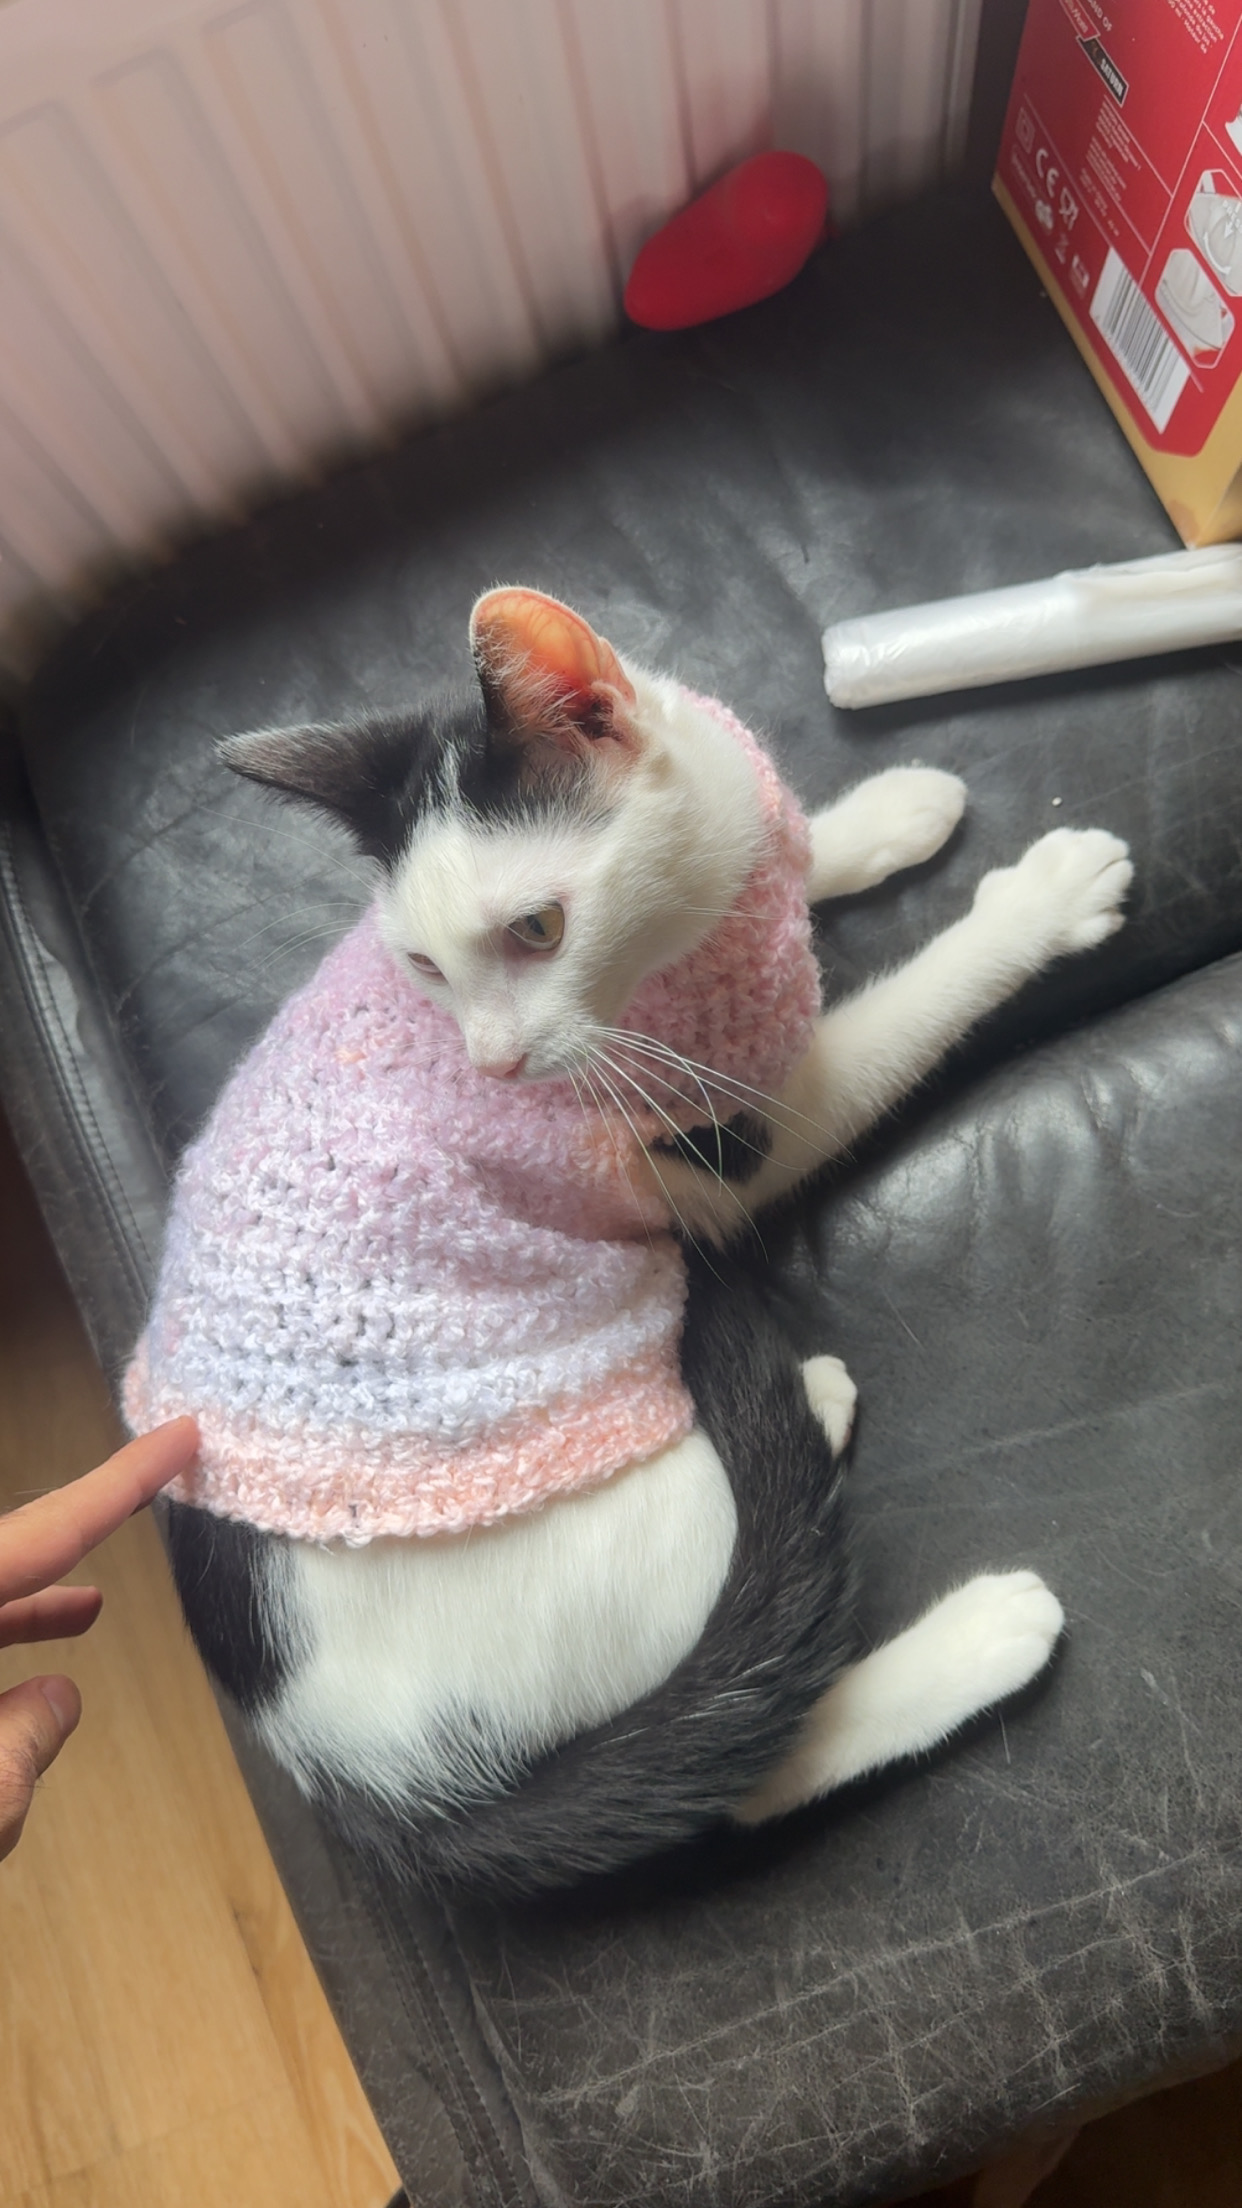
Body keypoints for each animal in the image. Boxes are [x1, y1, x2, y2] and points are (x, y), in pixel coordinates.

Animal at [127, 586, 1133, 1895]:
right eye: (423, 964)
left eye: (537, 928)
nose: (495, 1066)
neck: (685, 925)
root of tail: (362, 1778)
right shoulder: (714, 1137)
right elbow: (899, 1021)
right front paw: (1037, 904)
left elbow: (799, 843)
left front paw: (886, 810)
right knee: (743, 1749)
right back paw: (976, 1628)